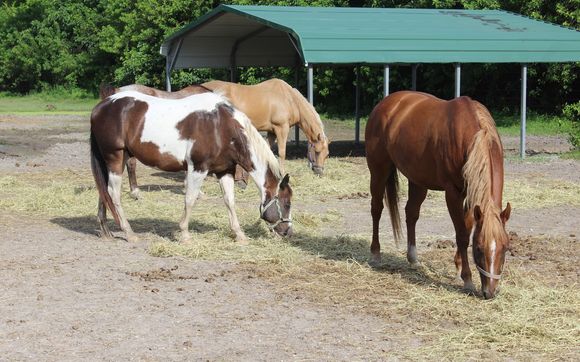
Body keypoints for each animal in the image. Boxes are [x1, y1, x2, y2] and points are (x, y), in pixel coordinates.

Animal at [91, 90, 294, 243]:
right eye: (287, 203)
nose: (288, 232)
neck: (221, 127)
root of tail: (101, 107)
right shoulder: (198, 168)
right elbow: (190, 199)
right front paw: (185, 234)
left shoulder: (224, 171)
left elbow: (229, 201)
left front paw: (239, 234)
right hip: (115, 157)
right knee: (113, 193)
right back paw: (129, 232)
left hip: (115, 159)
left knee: (104, 190)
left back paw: (105, 230)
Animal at [368, 90, 512, 300]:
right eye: (478, 248)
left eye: (505, 247)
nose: (490, 292)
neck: (472, 136)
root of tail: (386, 103)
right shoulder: (453, 193)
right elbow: (462, 235)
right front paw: (467, 279)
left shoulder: (470, 193)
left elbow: (468, 226)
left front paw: (458, 266)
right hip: (379, 170)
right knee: (376, 209)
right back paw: (375, 254)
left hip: (417, 180)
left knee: (411, 213)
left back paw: (413, 258)